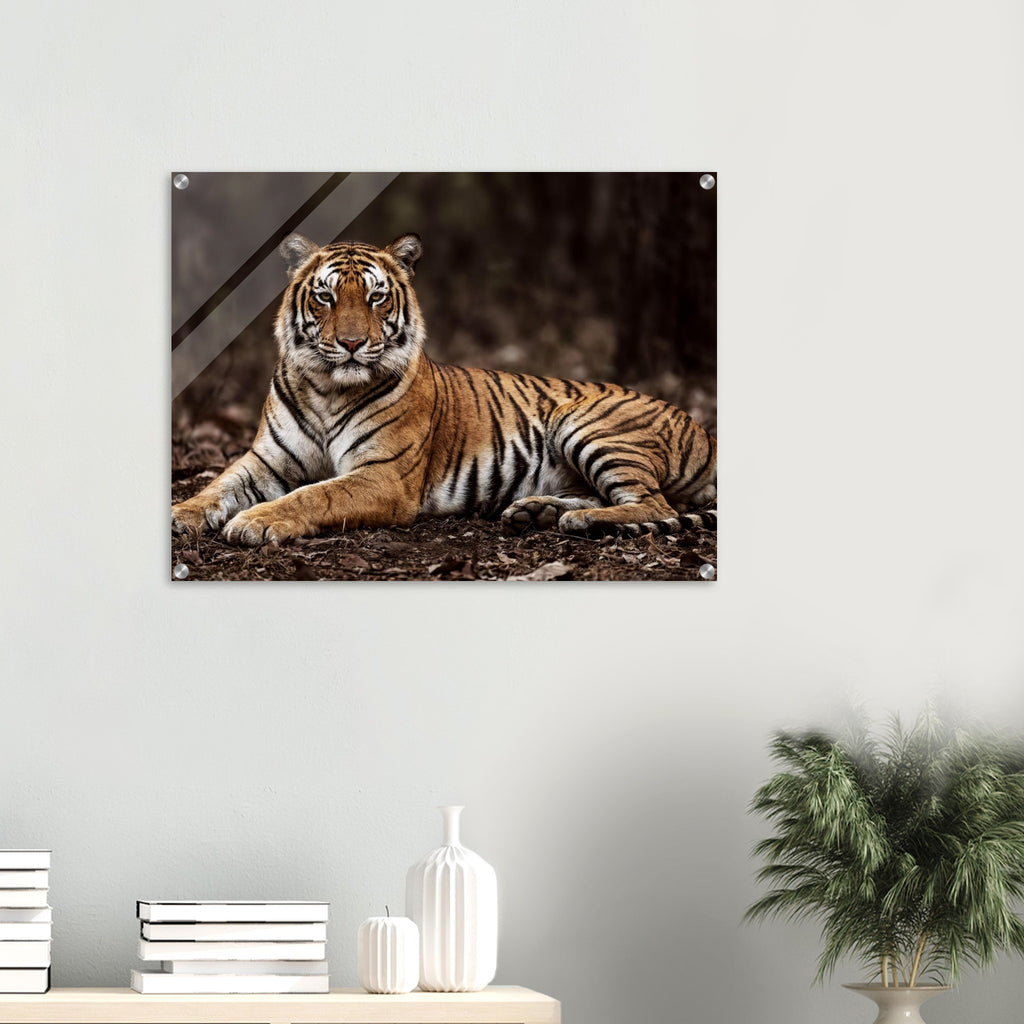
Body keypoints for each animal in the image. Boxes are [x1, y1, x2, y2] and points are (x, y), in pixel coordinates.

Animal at [171, 233, 717, 546]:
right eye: (325, 297)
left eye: (376, 297)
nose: (351, 344)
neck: (326, 389)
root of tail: (704, 429)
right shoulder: (265, 460)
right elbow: (216, 486)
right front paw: (181, 516)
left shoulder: (383, 476)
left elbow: (314, 496)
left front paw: (257, 521)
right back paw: (537, 512)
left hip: (586, 423)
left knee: (658, 507)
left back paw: (575, 523)